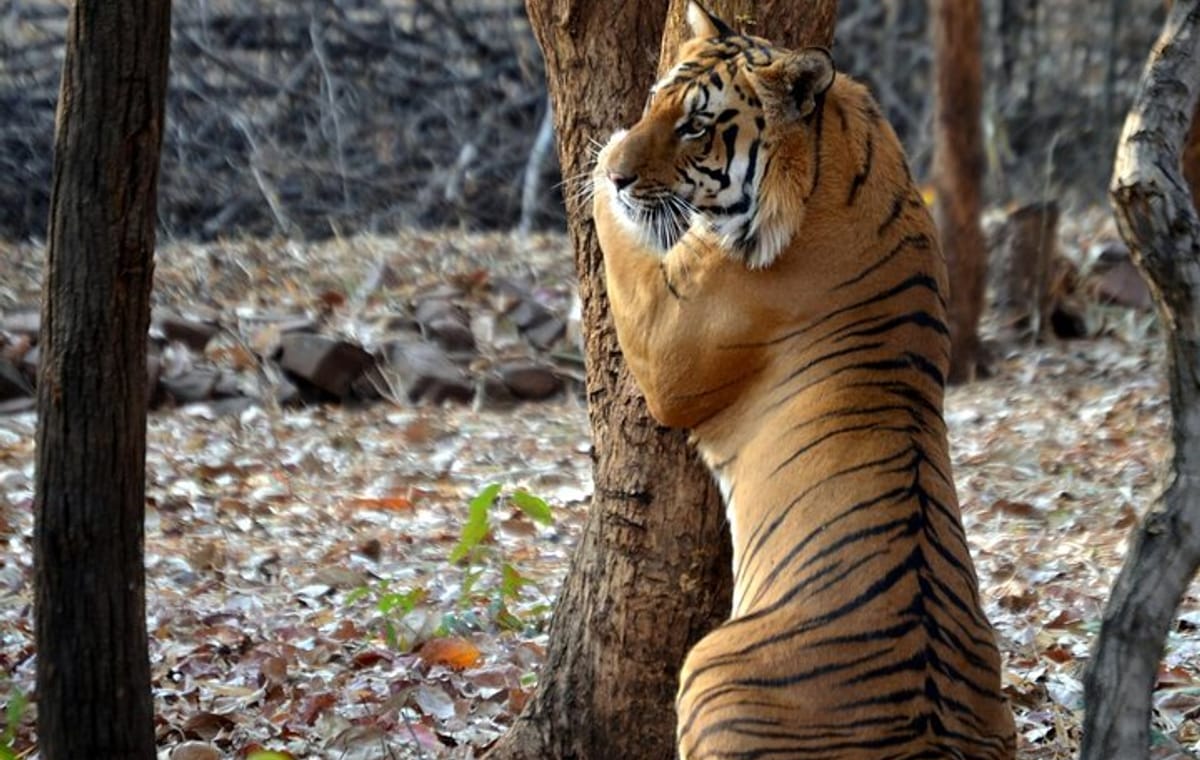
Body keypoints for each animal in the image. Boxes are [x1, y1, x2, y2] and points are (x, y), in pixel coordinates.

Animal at [591, 3, 1017, 758]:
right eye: (653, 100)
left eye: (695, 126)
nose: (617, 173)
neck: (836, 151)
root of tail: (927, 738)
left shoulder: (669, 342)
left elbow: (623, 243)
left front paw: (596, 170)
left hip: (708, 671)